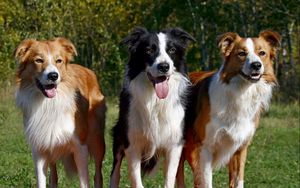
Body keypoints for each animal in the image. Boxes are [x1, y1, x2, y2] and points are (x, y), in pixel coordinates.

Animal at [15, 37, 107, 187]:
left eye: (59, 61)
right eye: (38, 60)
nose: (53, 75)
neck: (49, 104)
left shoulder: (80, 147)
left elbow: (84, 182)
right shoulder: (39, 150)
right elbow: (41, 181)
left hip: (97, 139)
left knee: (98, 175)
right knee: (53, 176)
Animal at [110, 26, 195, 188]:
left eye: (172, 50)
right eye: (148, 50)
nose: (164, 66)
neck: (155, 101)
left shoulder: (175, 144)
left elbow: (169, 178)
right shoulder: (132, 143)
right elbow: (136, 180)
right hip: (119, 135)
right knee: (115, 171)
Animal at [176, 30, 282, 187]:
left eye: (262, 53)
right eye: (241, 53)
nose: (256, 65)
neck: (241, 92)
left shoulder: (241, 146)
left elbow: (238, 180)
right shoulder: (205, 148)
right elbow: (206, 182)